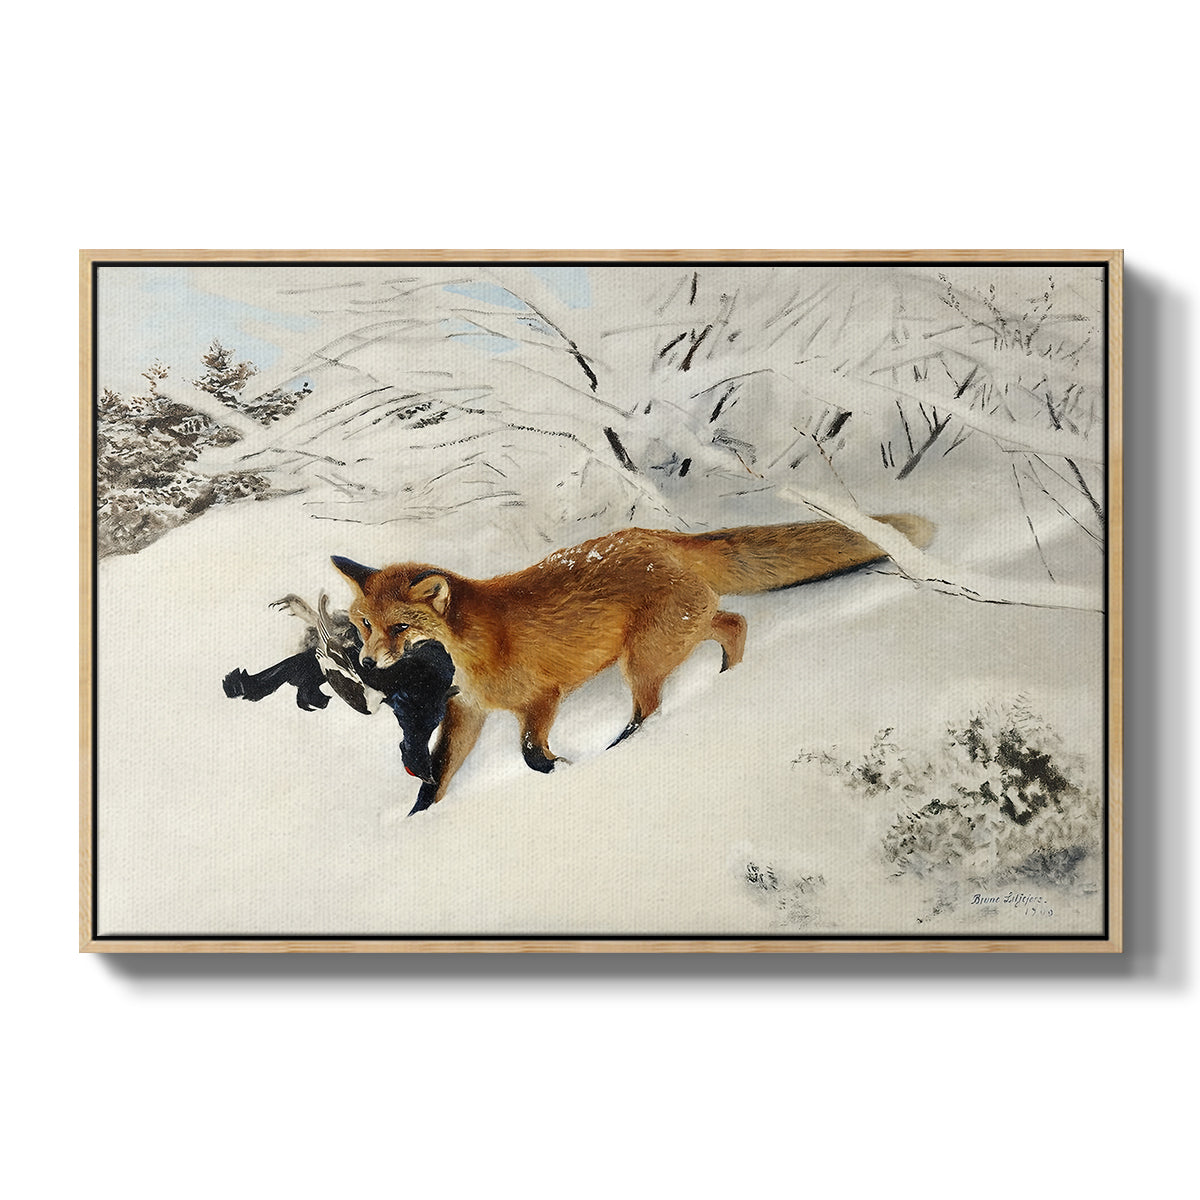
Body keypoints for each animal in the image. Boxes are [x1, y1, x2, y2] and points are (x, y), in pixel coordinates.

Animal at [332, 514, 933, 815]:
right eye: (364, 623)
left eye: (400, 628)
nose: (366, 661)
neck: (473, 648)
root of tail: (659, 537)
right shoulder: (468, 712)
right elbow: (437, 777)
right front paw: (417, 821)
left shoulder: (542, 698)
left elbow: (530, 754)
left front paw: (564, 770)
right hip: (677, 635)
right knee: (734, 622)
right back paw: (729, 679)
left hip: (642, 660)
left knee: (653, 707)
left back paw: (625, 747)